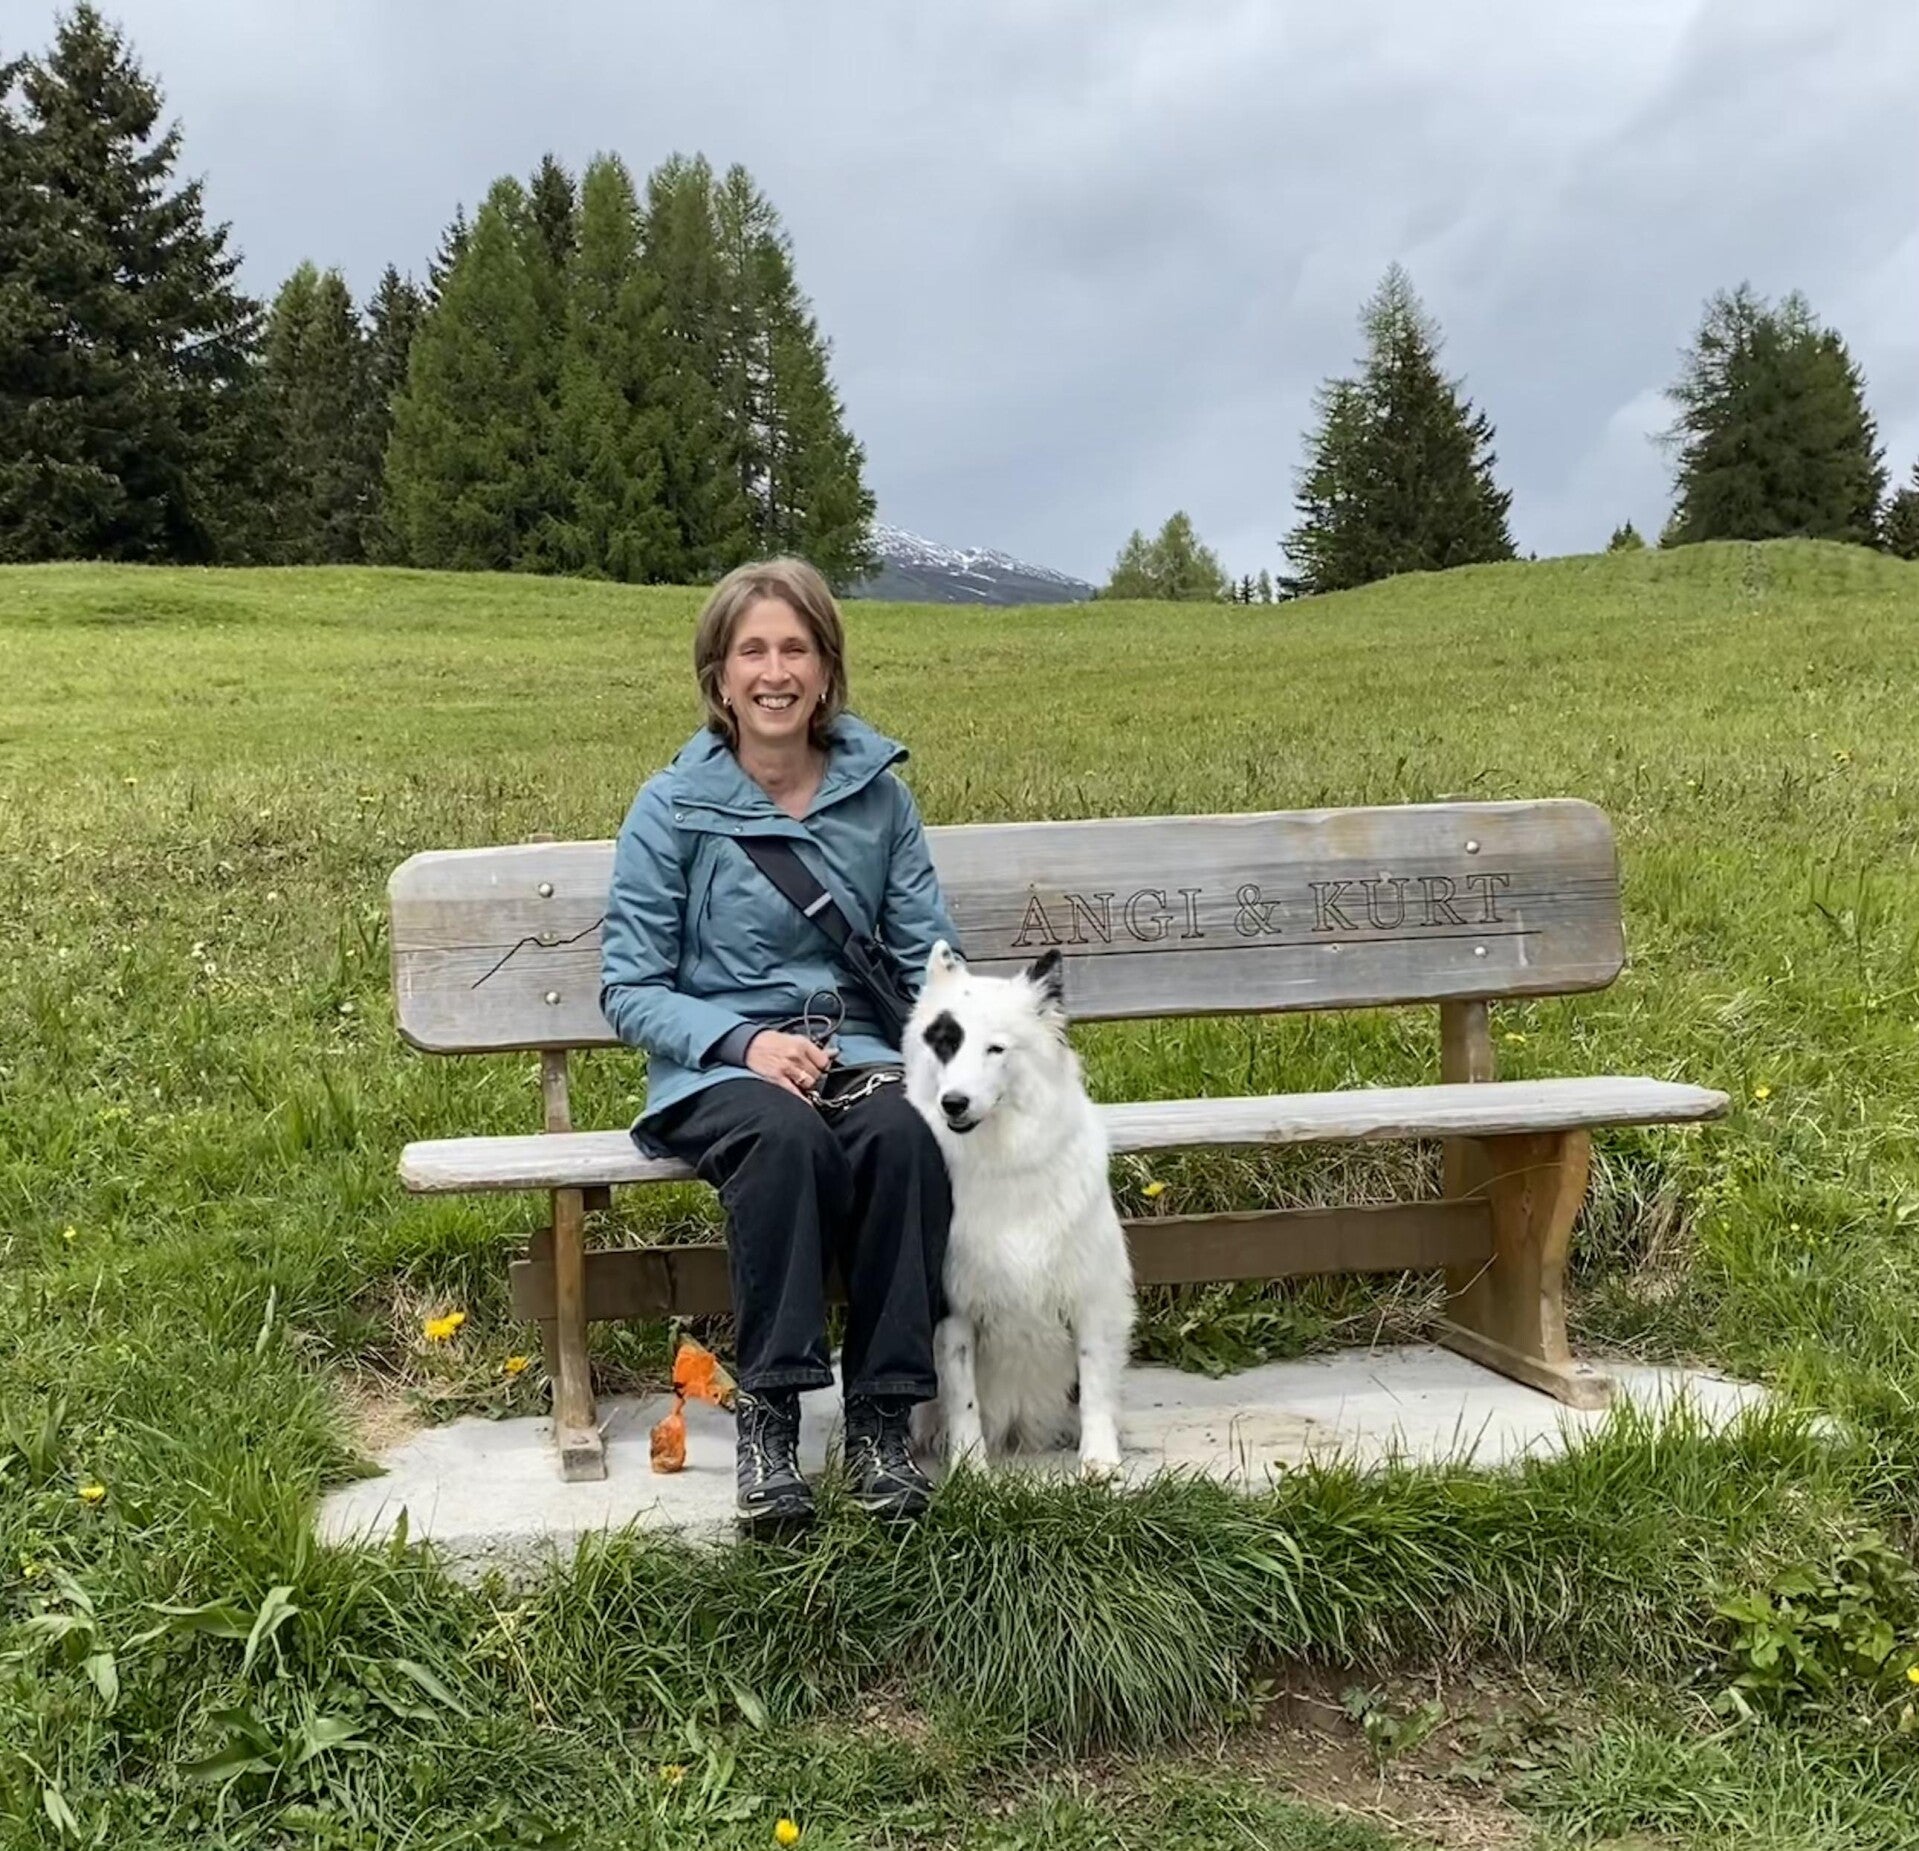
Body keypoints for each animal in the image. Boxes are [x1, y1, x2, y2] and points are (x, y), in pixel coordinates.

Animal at [903, 941, 1135, 1475]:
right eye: (945, 1043)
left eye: (996, 1048)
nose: (953, 1103)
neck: (1002, 1162)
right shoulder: (954, 1306)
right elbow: (962, 1395)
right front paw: (970, 1470)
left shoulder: (1091, 1293)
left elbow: (1094, 1380)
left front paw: (1099, 1460)